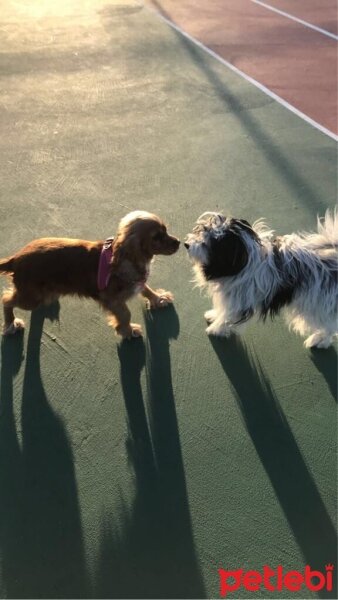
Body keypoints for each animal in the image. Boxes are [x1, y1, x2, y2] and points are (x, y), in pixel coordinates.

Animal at [0, 211, 180, 338]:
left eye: (165, 230)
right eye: (156, 237)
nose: (178, 242)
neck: (125, 257)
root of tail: (15, 258)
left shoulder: (137, 280)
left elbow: (146, 289)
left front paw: (158, 298)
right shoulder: (112, 300)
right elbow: (125, 315)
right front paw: (128, 331)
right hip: (31, 298)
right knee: (7, 299)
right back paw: (11, 324)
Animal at [185, 213, 338, 350]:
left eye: (208, 243)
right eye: (202, 231)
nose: (186, 244)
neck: (241, 263)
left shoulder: (239, 302)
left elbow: (227, 316)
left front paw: (216, 329)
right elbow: (223, 310)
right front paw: (213, 315)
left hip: (319, 304)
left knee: (329, 326)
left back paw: (320, 340)